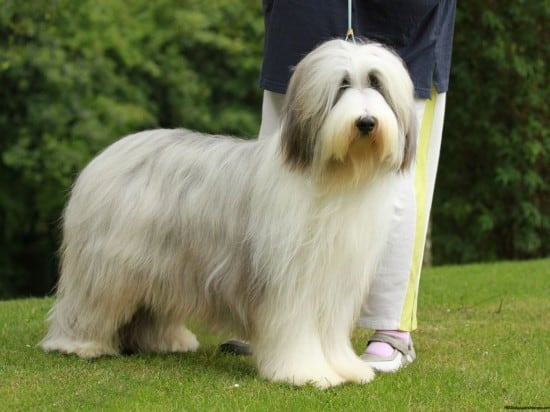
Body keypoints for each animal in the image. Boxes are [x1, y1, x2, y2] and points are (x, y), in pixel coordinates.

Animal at [40, 37, 418, 386]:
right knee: (91, 302)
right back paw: (79, 344)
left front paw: (345, 368)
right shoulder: (291, 281)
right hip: (112, 264)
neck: (336, 177)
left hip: (162, 263)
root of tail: (112, 152)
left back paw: (166, 341)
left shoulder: (335, 281)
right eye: (341, 85)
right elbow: (297, 330)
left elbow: (330, 334)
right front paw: (307, 372)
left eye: (377, 84)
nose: (366, 122)